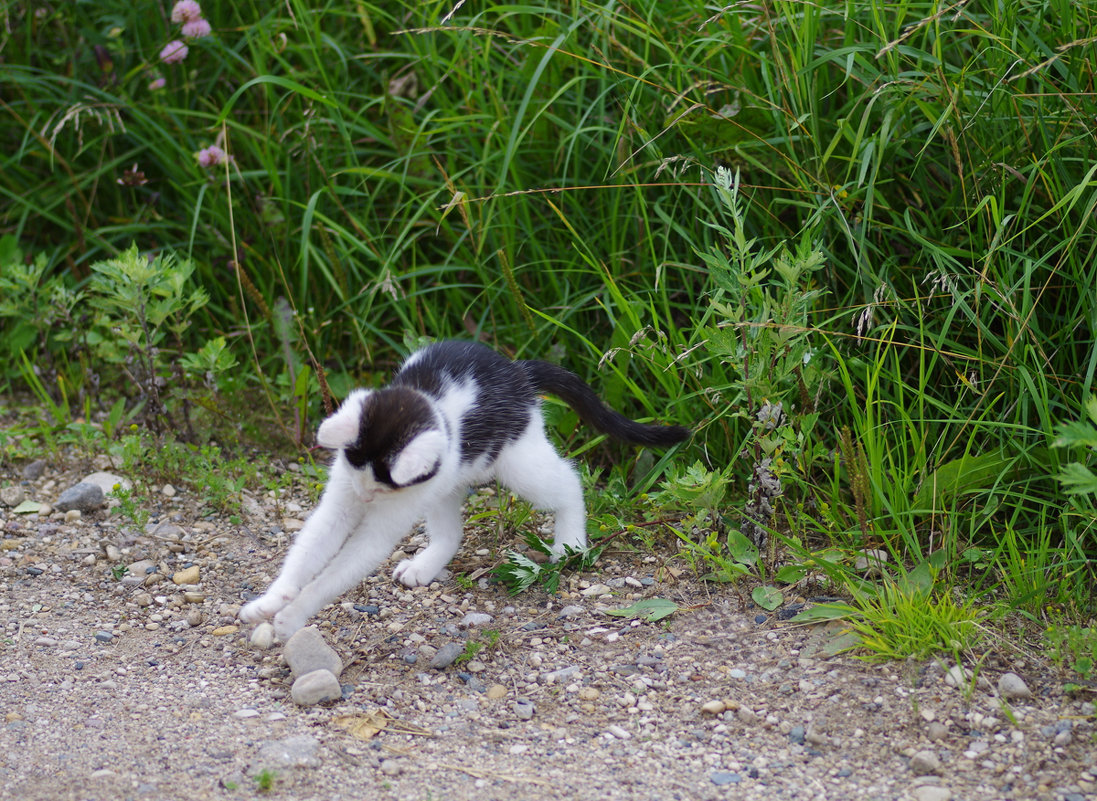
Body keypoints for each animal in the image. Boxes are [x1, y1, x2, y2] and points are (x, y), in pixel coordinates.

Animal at [240, 337, 684, 636]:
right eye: (355, 472)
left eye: (381, 489)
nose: (366, 496)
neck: (429, 405)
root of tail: (518, 372)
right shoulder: (342, 498)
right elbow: (309, 549)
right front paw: (271, 601)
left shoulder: (386, 520)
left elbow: (338, 571)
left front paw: (293, 616)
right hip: (445, 484)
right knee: (451, 533)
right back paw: (424, 566)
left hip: (518, 462)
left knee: (569, 483)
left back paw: (570, 540)